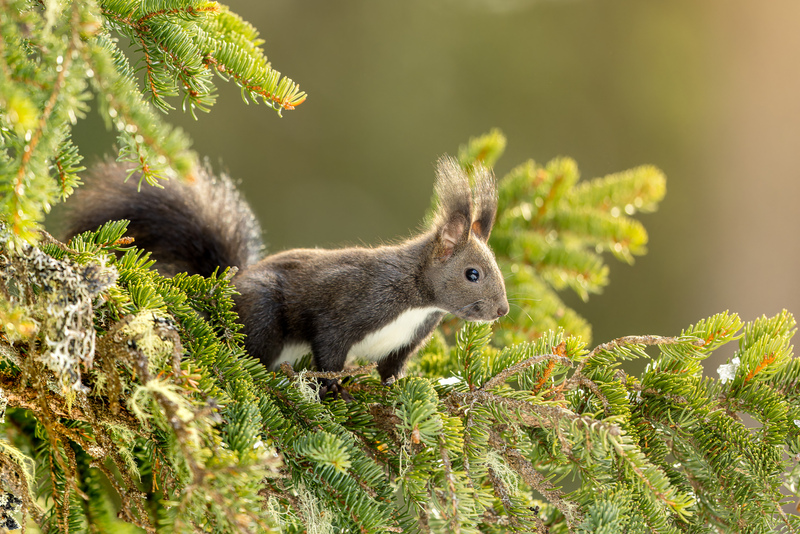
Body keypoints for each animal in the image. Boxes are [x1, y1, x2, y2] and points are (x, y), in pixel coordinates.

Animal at [67, 156, 506, 398]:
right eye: (472, 273)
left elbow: (390, 371)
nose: (501, 311)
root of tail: (225, 286)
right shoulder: (348, 304)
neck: (418, 300)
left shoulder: (405, 343)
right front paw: (334, 388)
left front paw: (400, 392)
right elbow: (329, 347)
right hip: (261, 314)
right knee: (251, 351)